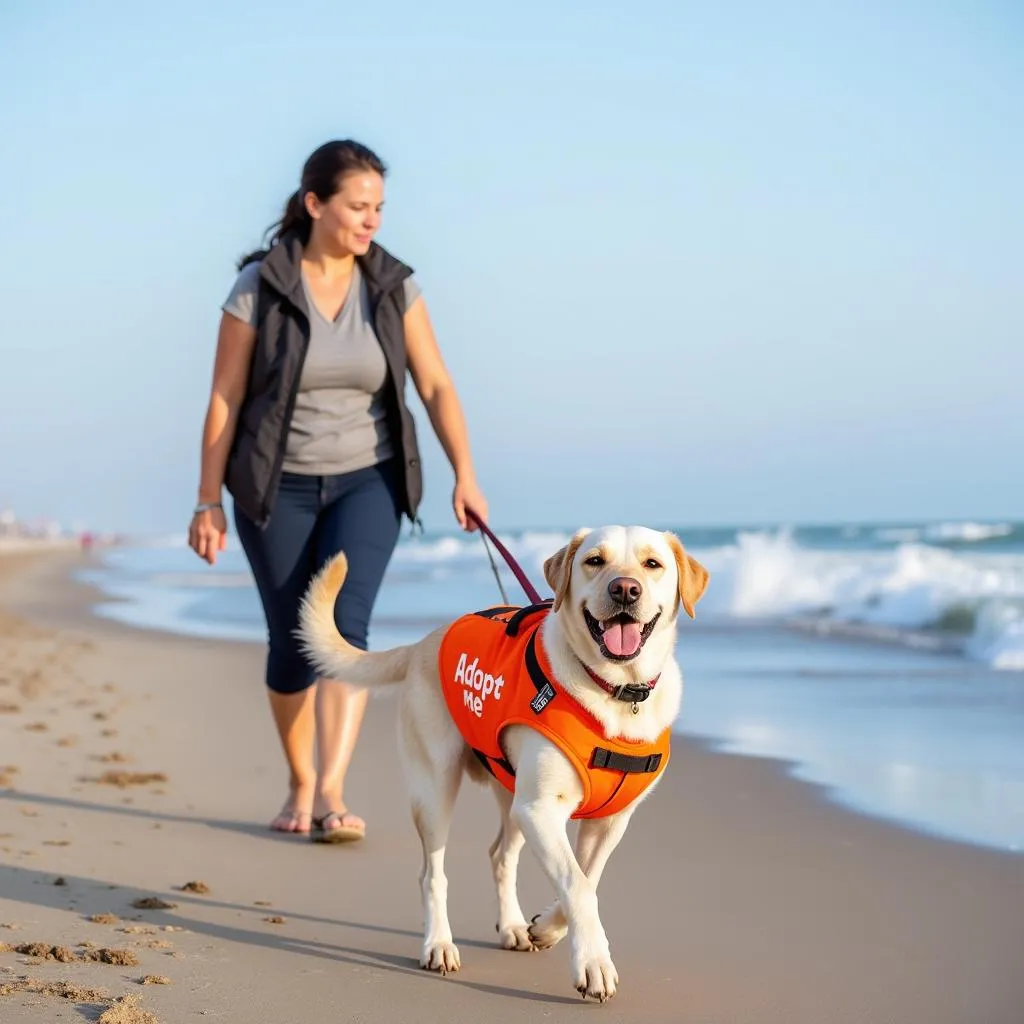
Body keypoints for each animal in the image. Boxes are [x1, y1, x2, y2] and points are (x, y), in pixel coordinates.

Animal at [299, 528, 708, 999]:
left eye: (652, 564)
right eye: (595, 561)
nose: (625, 589)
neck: (615, 692)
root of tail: (423, 642)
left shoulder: (608, 821)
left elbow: (587, 880)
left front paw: (545, 929)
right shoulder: (541, 809)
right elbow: (578, 885)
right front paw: (594, 964)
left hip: (511, 793)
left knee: (499, 855)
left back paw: (513, 926)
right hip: (436, 788)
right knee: (432, 874)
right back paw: (438, 944)